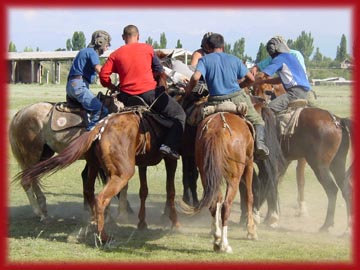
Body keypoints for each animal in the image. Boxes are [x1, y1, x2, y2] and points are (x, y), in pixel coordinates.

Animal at [178, 112, 258, 253]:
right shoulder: (249, 163)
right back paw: (224, 244)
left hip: (206, 175)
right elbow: (249, 197)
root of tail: (218, 131)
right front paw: (251, 231)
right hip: (234, 178)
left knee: (214, 203)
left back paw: (216, 238)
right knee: (226, 206)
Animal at [250, 75, 352, 232]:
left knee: (332, 190)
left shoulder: (269, 163)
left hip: (319, 165)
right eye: (254, 89)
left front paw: (266, 217)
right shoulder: (278, 163)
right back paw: (348, 228)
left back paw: (326, 225)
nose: (260, 99)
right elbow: (269, 184)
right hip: (337, 164)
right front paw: (268, 217)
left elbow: (267, 185)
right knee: (346, 189)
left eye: (267, 90)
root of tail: (337, 121)